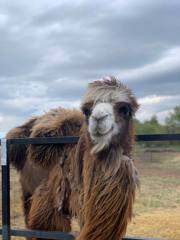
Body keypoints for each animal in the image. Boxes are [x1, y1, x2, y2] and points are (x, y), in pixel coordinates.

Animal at [6, 77, 139, 240]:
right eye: (87, 110)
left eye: (125, 109)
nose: (98, 118)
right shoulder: (49, 206)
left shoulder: (84, 206)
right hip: (27, 191)